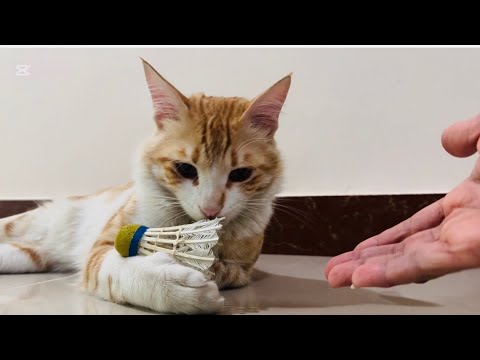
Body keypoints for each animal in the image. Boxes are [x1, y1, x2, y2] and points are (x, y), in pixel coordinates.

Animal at [0, 59, 292, 312]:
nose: (211, 210)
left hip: (31, 255)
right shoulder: (101, 249)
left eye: (241, 174)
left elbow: (223, 269)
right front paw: (173, 286)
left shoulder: (242, 269)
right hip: (23, 224)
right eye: (185, 168)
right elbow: (118, 267)